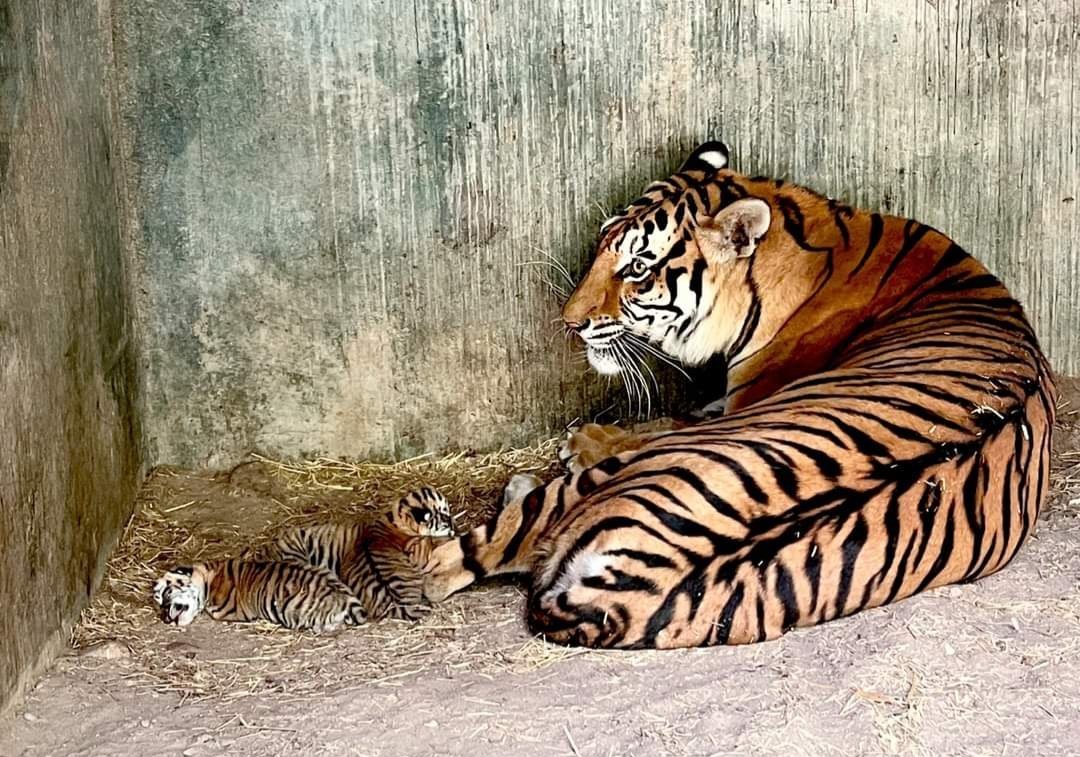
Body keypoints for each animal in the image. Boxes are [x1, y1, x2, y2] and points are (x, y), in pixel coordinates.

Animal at [421, 140, 1057, 650]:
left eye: (637, 269)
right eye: (602, 244)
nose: (570, 323)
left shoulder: (738, 401)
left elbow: (667, 420)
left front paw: (582, 439)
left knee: (447, 560)